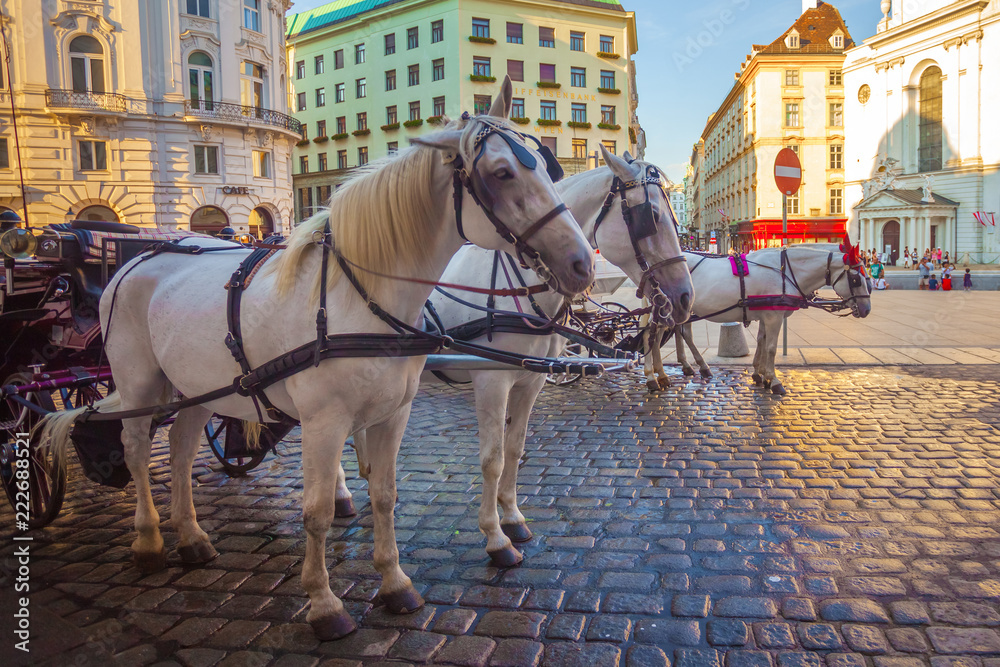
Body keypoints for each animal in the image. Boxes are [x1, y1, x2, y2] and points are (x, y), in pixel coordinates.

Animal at [43, 78, 596, 640]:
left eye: (548, 167)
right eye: (502, 172)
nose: (581, 264)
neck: (360, 297)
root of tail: (141, 256)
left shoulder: (397, 413)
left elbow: (386, 494)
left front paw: (394, 581)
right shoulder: (327, 420)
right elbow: (316, 513)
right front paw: (324, 602)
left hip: (197, 385)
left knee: (178, 447)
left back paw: (192, 536)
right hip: (138, 380)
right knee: (135, 448)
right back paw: (150, 538)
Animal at [338, 147, 696, 568]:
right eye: (650, 216)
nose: (686, 297)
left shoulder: (532, 379)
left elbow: (515, 448)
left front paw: (512, 517)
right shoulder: (492, 380)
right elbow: (492, 459)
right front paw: (495, 537)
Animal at [640, 243, 868, 394]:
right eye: (856, 279)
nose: (866, 309)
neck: (784, 272)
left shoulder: (766, 315)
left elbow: (762, 342)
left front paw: (761, 375)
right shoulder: (774, 317)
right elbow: (772, 347)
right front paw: (774, 380)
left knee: (665, 335)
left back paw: (668, 373)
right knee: (651, 335)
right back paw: (652, 376)